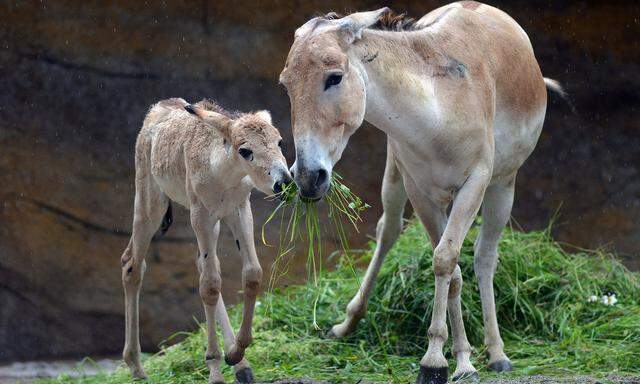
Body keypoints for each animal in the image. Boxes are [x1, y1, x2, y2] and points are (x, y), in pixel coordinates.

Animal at [120, 98, 290, 384]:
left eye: (279, 141)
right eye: (245, 150)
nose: (284, 183)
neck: (223, 174)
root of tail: (156, 109)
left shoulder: (239, 210)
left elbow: (251, 274)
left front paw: (236, 353)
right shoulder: (201, 214)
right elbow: (210, 285)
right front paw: (215, 367)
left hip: (213, 223)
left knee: (202, 264)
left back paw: (241, 365)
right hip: (150, 203)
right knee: (132, 265)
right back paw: (136, 367)